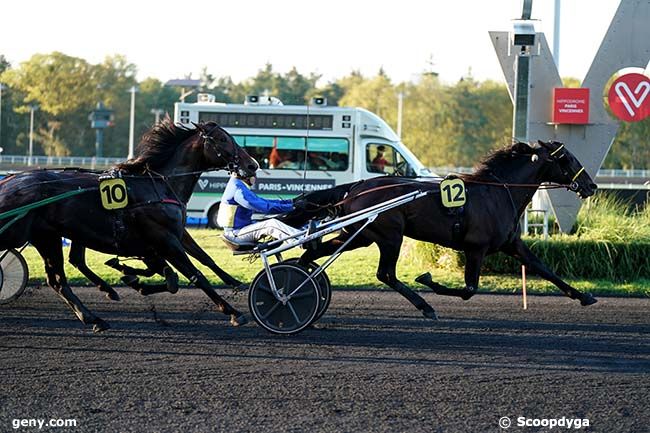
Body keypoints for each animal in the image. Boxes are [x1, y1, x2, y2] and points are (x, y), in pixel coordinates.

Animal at [0, 119, 258, 330]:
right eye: (223, 139)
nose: (252, 165)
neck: (159, 185)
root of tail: (9, 180)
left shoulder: (174, 235)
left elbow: (201, 260)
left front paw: (234, 282)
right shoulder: (165, 239)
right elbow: (194, 275)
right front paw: (233, 312)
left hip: (48, 237)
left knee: (59, 278)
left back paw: (95, 315)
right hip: (27, 234)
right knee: (60, 276)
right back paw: (96, 312)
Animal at [284, 140, 596, 318]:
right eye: (568, 158)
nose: (591, 185)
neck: (498, 192)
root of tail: (357, 187)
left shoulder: (511, 244)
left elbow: (544, 268)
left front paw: (584, 296)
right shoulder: (476, 248)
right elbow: (469, 289)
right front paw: (427, 279)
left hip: (358, 235)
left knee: (313, 252)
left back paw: (301, 278)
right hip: (389, 236)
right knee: (385, 273)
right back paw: (425, 306)